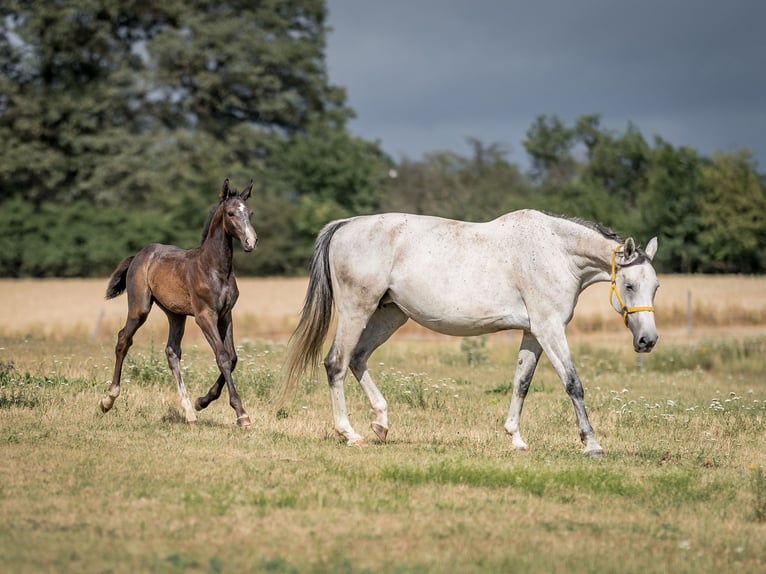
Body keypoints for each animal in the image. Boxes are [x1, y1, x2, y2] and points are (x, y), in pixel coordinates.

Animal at [100, 180, 258, 428]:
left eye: (250, 213)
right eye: (231, 213)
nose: (251, 241)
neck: (214, 268)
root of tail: (139, 255)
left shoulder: (225, 315)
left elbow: (232, 358)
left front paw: (202, 401)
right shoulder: (205, 316)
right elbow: (222, 357)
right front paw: (241, 414)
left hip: (176, 314)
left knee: (172, 351)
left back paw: (190, 412)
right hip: (140, 308)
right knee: (123, 339)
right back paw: (108, 400)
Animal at [284, 209, 660, 456]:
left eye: (655, 286)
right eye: (628, 285)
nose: (647, 340)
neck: (556, 253)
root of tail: (345, 225)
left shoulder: (533, 333)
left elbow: (521, 383)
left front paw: (515, 438)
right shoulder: (549, 328)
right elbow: (573, 384)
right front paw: (591, 444)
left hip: (389, 315)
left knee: (357, 359)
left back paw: (381, 423)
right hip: (356, 310)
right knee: (336, 362)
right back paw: (350, 433)